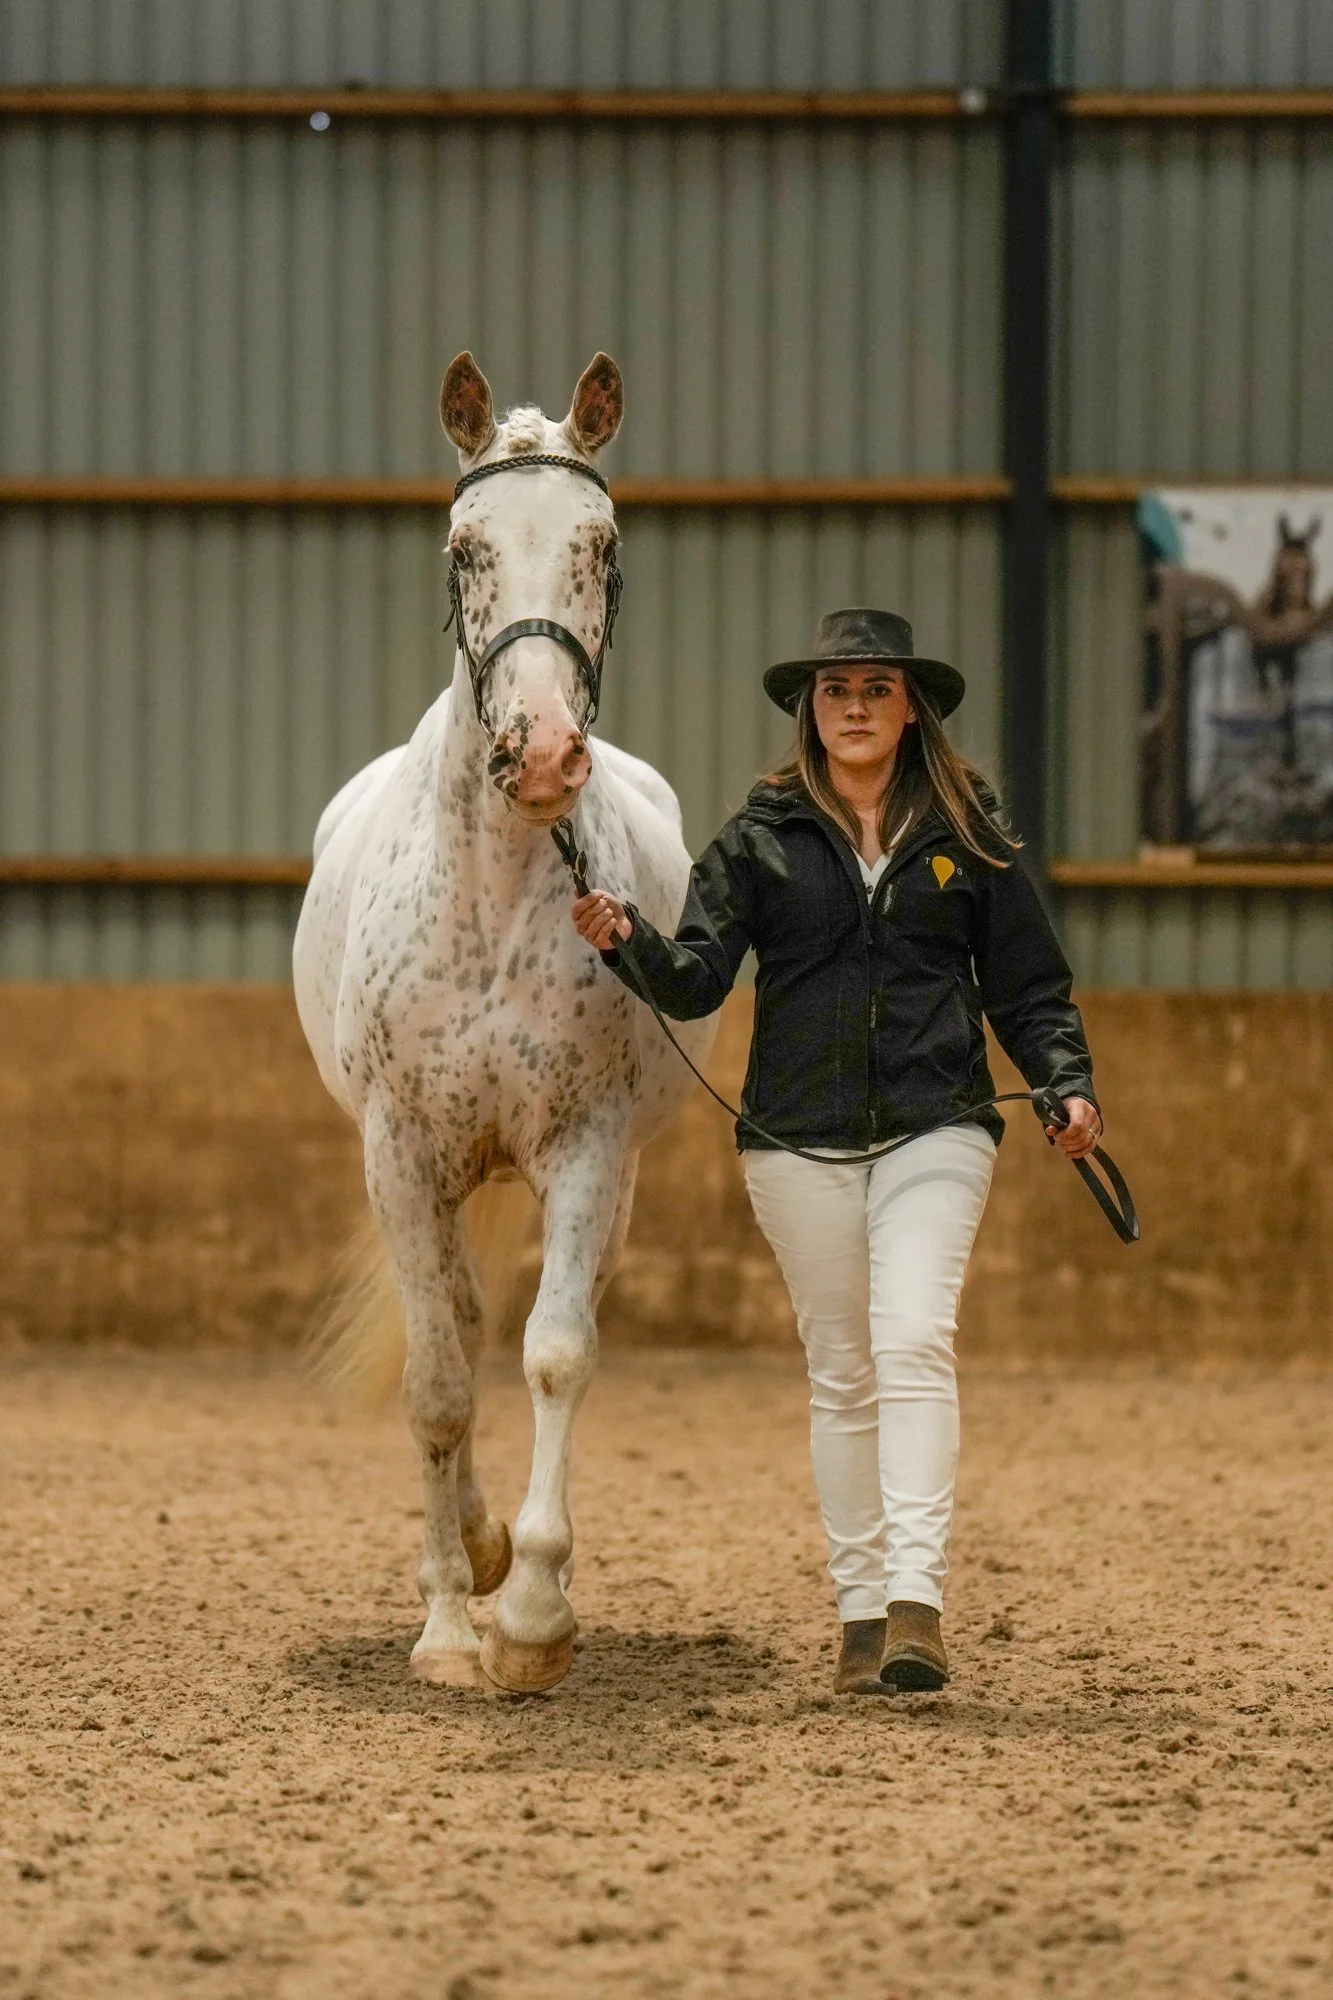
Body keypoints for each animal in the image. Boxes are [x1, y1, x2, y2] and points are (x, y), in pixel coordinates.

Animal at [292, 352, 718, 1693]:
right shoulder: (402, 1155)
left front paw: (530, 1613)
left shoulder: (585, 1151)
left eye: (602, 545)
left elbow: (555, 1352)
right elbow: (437, 1378)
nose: (539, 757)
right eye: (464, 549)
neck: (486, 897)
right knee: (458, 1331)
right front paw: (445, 1621)